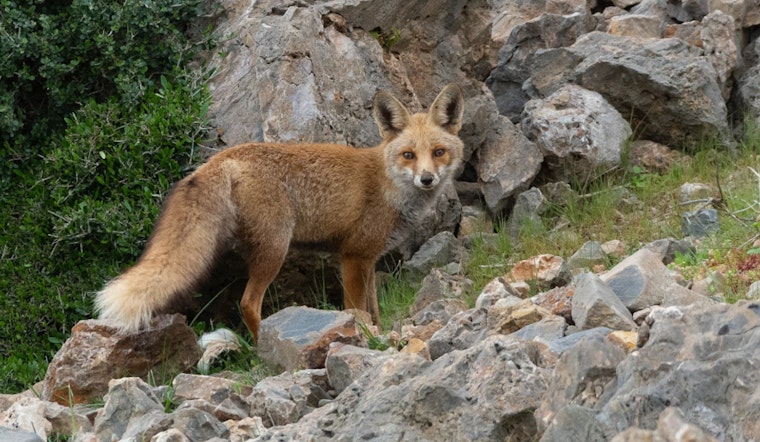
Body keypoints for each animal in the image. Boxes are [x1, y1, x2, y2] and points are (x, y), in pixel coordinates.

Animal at [95, 84, 465, 341]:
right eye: (408, 155)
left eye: (438, 152)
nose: (427, 178)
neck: (389, 185)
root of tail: (219, 160)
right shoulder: (354, 257)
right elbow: (356, 309)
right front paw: (364, 336)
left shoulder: (368, 259)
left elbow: (373, 310)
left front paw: (378, 331)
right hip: (275, 249)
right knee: (248, 303)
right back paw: (264, 347)